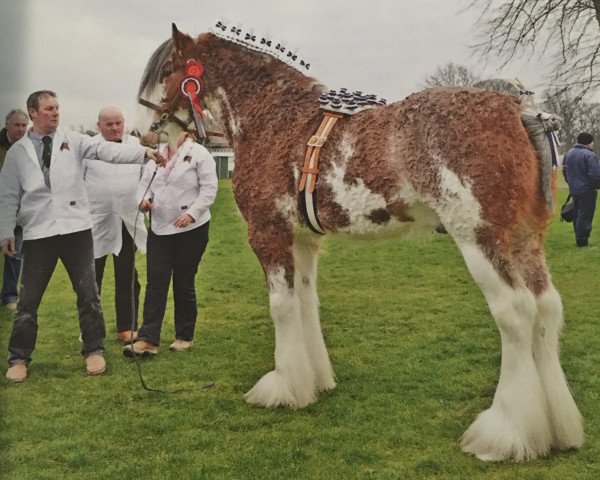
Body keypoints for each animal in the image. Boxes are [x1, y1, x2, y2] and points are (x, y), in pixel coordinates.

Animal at [135, 24, 580, 460]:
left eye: (166, 70)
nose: (141, 131)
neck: (274, 117)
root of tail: (519, 110)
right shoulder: (303, 240)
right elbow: (305, 302)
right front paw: (314, 381)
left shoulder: (268, 233)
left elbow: (281, 307)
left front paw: (282, 387)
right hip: (525, 240)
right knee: (546, 308)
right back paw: (556, 428)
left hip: (481, 239)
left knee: (516, 313)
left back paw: (504, 434)